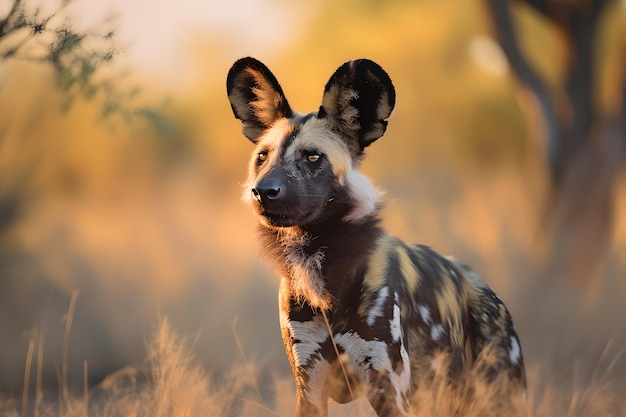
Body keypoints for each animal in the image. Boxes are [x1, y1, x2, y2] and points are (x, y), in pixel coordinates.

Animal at [227, 57, 524, 414]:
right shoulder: (309, 383)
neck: (320, 268)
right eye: (263, 156)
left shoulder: (387, 387)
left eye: (312, 157)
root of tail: (482, 284)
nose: (263, 191)